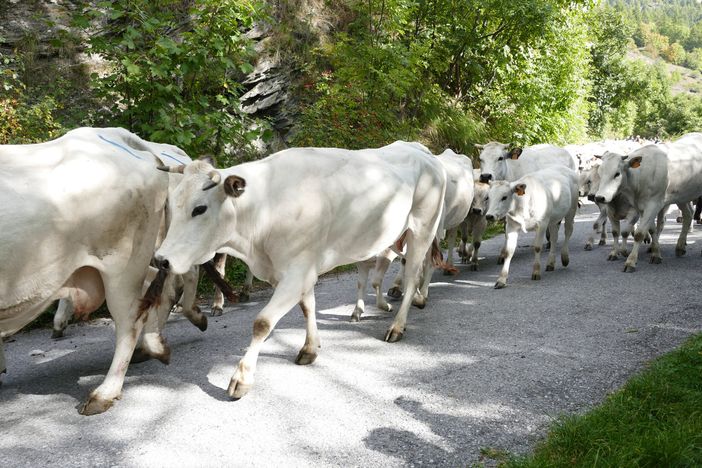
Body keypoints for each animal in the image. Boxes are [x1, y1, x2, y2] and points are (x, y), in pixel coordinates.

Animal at [152, 141, 447, 399]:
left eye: (199, 208)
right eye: (172, 205)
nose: (161, 259)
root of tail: (424, 153)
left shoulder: (296, 271)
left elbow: (262, 323)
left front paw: (242, 378)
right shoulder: (298, 270)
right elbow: (308, 307)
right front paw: (310, 348)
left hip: (422, 229)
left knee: (413, 276)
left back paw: (398, 325)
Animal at [594, 133, 702, 272]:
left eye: (617, 174)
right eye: (599, 173)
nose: (599, 197)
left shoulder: (654, 204)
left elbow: (639, 234)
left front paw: (631, 262)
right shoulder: (642, 207)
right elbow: (651, 230)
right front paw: (656, 253)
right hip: (682, 195)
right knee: (688, 214)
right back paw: (680, 246)